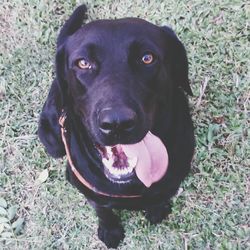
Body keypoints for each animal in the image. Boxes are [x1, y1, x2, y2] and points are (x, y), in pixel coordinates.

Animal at [38, 4, 195, 248]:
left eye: (147, 58)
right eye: (83, 63)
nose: (117, 123)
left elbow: (159, 197)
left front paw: (157, 209)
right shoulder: (90, 191)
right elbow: (103, 210)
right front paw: (110, 230)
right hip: (53, 142)